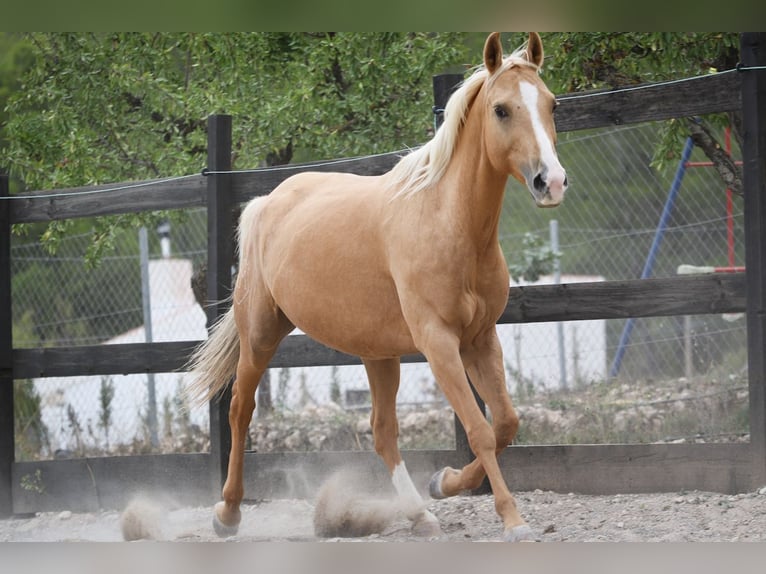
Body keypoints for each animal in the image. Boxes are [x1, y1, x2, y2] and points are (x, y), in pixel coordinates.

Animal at [189, 32, 568, 544]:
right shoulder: (439, 343)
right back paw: (227, 513)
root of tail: (268, 202)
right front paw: (512, 519)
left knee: (382, 431)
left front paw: (444, 482)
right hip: (261, 334)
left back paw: (420, 515)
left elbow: (506, 423)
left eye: (551, 104)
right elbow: (480, 430)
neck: (448, 223)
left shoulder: (480, 338)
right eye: (502, 109)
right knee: (240, 411)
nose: (552, 182)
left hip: (378, 354)